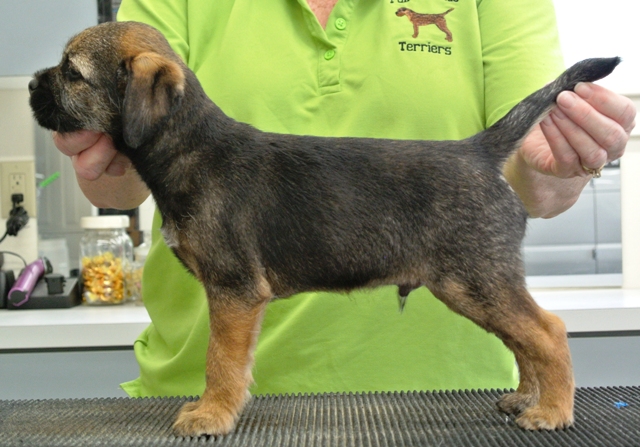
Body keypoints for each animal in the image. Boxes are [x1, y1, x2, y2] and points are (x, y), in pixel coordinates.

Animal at [28, 21, 620, 438]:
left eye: (72, 72)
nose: (32, 83)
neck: (190, 145)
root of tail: (478, 152)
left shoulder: (235, 291)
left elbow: (221, 361)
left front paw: (213, 415)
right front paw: (214, 409)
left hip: (475, 279)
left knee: (548, 331)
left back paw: (552, 410)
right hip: (477, 284)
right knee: (525, 336)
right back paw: (527, 397)